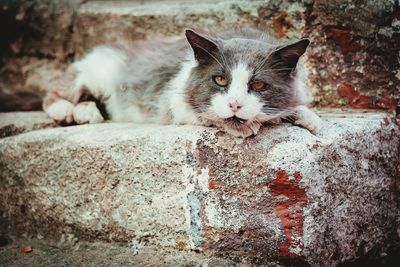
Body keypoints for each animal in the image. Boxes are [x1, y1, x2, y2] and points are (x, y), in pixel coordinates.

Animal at [42, 27, 322, 138]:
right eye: (220, 79)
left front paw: (307, 117)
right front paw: (245, 127)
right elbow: (205, 114)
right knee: (56, 94)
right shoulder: (172, 99)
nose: (234, 104)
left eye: (258, 86)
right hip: (95, 76)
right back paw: (73, 111)